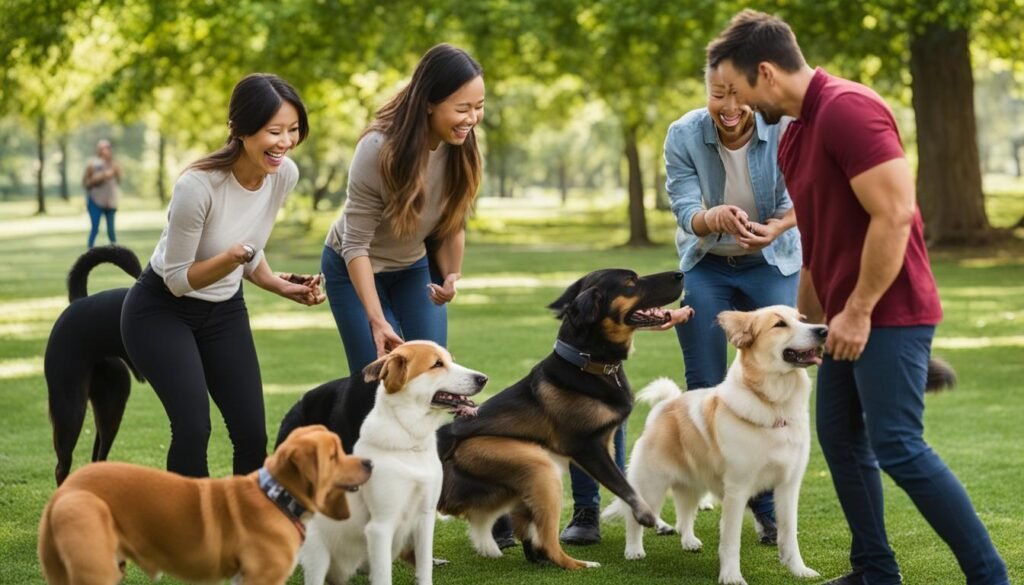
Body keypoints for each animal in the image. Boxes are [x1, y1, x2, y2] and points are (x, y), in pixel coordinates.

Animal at [41, 426, 376, 585]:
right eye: (334, 456)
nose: (369, 463)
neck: (276, 496)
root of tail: (64, 489)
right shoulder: (263, 578)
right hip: (97, 568)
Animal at [296, 340, 487, 585]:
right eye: (437, 364)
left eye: (451, 360)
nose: (483, 378)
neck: (410, 444)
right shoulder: (380, 527)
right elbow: (383, 575)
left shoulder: (425, 517)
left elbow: (425, 568)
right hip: (318, 556)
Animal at [436, 268, 684, 569]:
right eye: (631, 281)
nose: (680, 274)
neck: (588, 363)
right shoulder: (587, 447)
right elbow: (624, 486)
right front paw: (646, 515)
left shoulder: (608, 441)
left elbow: (627, 482)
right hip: (527, 464)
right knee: (547, 539)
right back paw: (579, 564)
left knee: (530, 536)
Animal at [602, 307, 827, 585]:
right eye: (779, 324)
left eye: (802, 320)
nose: (824, 331)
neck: (774, 407)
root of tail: (665, 406)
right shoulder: (737, 491)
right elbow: (730, 541)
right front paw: (731, 576)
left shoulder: (788, 486)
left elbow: (789, 535)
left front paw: (798, 570)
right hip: (652, 486)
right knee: (635, 518)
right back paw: (634, 550)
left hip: (692, 483)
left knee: (685, 515)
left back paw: (689, 541)